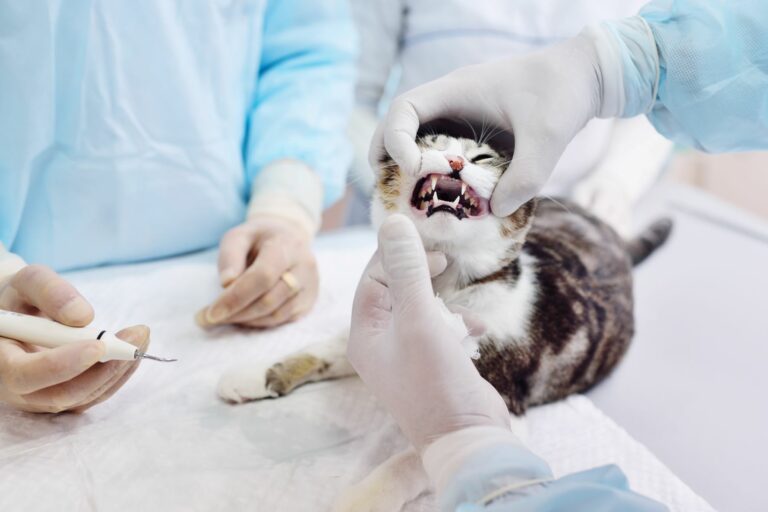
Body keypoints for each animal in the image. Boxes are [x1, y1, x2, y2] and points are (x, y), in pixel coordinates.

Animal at [216, 130, 672, 510]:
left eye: (483, 156)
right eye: (429, 145)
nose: (455, 160)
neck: (444, 285)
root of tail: (613, 236)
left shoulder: (504, 405)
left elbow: (418, 454)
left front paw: (362, 499)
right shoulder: (380, 327)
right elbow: (326, 348)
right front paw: (258, 373)